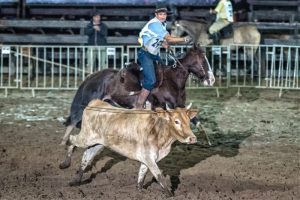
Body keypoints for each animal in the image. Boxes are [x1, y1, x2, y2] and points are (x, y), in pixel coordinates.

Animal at [59, 99, 198, 196]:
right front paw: (170, 195)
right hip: (86, 137)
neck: (159, 131)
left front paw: (139, 191)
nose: (192, 138)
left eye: (188, 121)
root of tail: (95, 102)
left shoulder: (147, 159)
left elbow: (141, 175)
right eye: (176, 121)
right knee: (72, 140)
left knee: (86, 157)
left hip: (98, 144)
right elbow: (159, 177)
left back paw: (76, 180)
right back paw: (65, 163)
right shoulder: (149, 158)